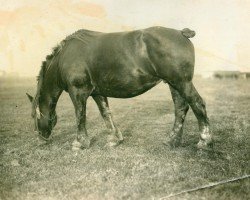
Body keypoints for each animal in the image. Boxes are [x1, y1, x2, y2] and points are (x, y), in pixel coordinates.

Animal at [25, 27, 213, 152]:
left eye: (35, 117)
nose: (41, 140)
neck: (63, 59)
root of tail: (181, 33)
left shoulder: (77, 91)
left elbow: (80, 116)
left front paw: (79, 143)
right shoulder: (98, 93)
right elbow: (106, 114)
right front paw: (114, 139)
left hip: (182, 82)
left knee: (197, 104)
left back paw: (204, 142)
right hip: (173, 84)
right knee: (181, 108)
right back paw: (172, 141)